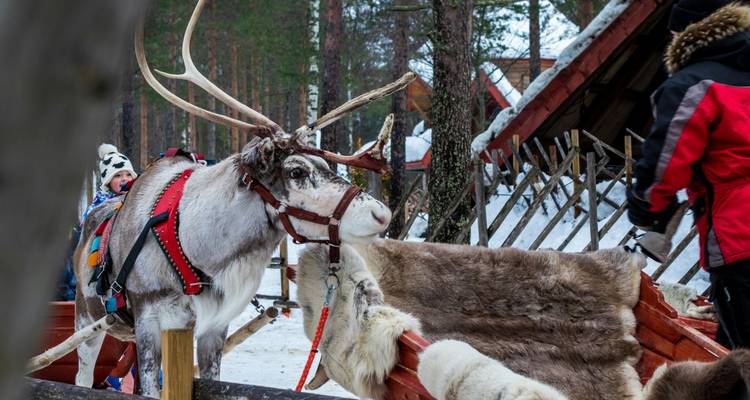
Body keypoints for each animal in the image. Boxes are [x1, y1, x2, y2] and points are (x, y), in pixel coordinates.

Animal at [72, 1, 413, 396]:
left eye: (325, 163)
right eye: (296, 172)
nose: (380, 213)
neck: (199, 248)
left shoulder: (212, 327)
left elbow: (208, 380)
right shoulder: (149, 320)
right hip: (87, 317)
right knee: (83, 375)